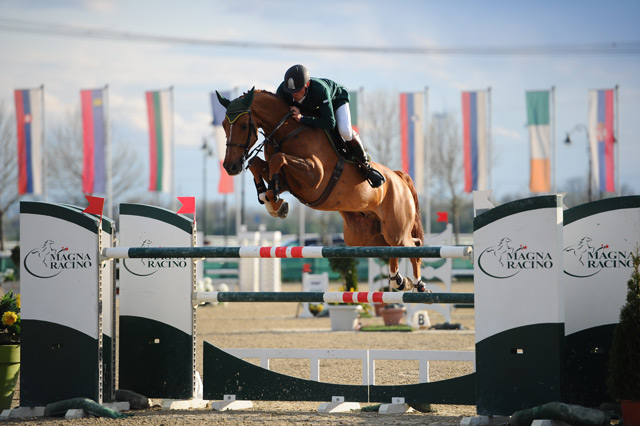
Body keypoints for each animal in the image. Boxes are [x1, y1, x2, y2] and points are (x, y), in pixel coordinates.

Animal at [218, 87, 428, 292]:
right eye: (223, 125)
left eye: (243, 125)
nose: (231, 167)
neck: (286, 132)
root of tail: (399, 178)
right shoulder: (287, 180)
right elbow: (258, 163)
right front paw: (270, 199)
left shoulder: (314, 177)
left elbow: (278, 159)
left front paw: (274, 201)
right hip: (363, 236)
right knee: (392, 247)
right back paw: (399, 280)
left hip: (395, 229)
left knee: (412, 244)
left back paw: (418, 283)